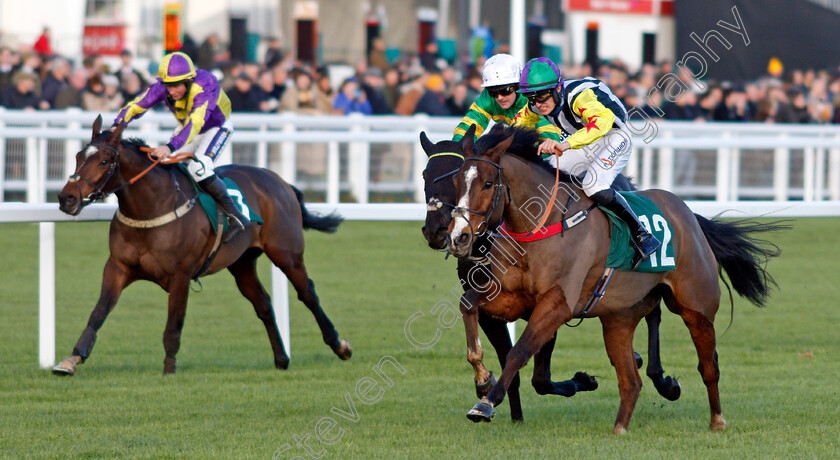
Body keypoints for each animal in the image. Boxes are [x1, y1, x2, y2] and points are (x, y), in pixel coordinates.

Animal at [51, 114, 354, 374]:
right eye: (78, 156)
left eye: (103, 161)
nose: (66, 198)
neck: (151, 207)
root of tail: (282, 182)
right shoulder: (118, 267)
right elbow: (98, 313)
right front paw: (71, 359)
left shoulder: (180, 275)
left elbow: (173, 327)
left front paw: (169, 370)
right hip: (242, 262)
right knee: (264, 305)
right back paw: (281, 359)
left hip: (286, 253)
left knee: (308, 294)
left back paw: (340, 346)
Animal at [416, 125, 680, 420]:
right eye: (426, 175)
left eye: (486, 184)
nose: (441, 232)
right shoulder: (503, 303)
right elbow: (482, 326)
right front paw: (490, 391)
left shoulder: (550, 303)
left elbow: (537, 374)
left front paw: (581, 381)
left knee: (654, 314)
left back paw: (663, 380)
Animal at [450, 124, 784, 434]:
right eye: (455, 182)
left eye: (488, 183)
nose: (459, 237)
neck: (541, 224)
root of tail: (688, 213)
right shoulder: (516, 297)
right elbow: (468, 304)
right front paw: (483, 378)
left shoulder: (557, 303)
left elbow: (519, 351)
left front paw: (485, 403)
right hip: (619, 319)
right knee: (631, 379)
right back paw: (620, 428)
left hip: (696, 308)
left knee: (708, 366)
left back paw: (717, 420)